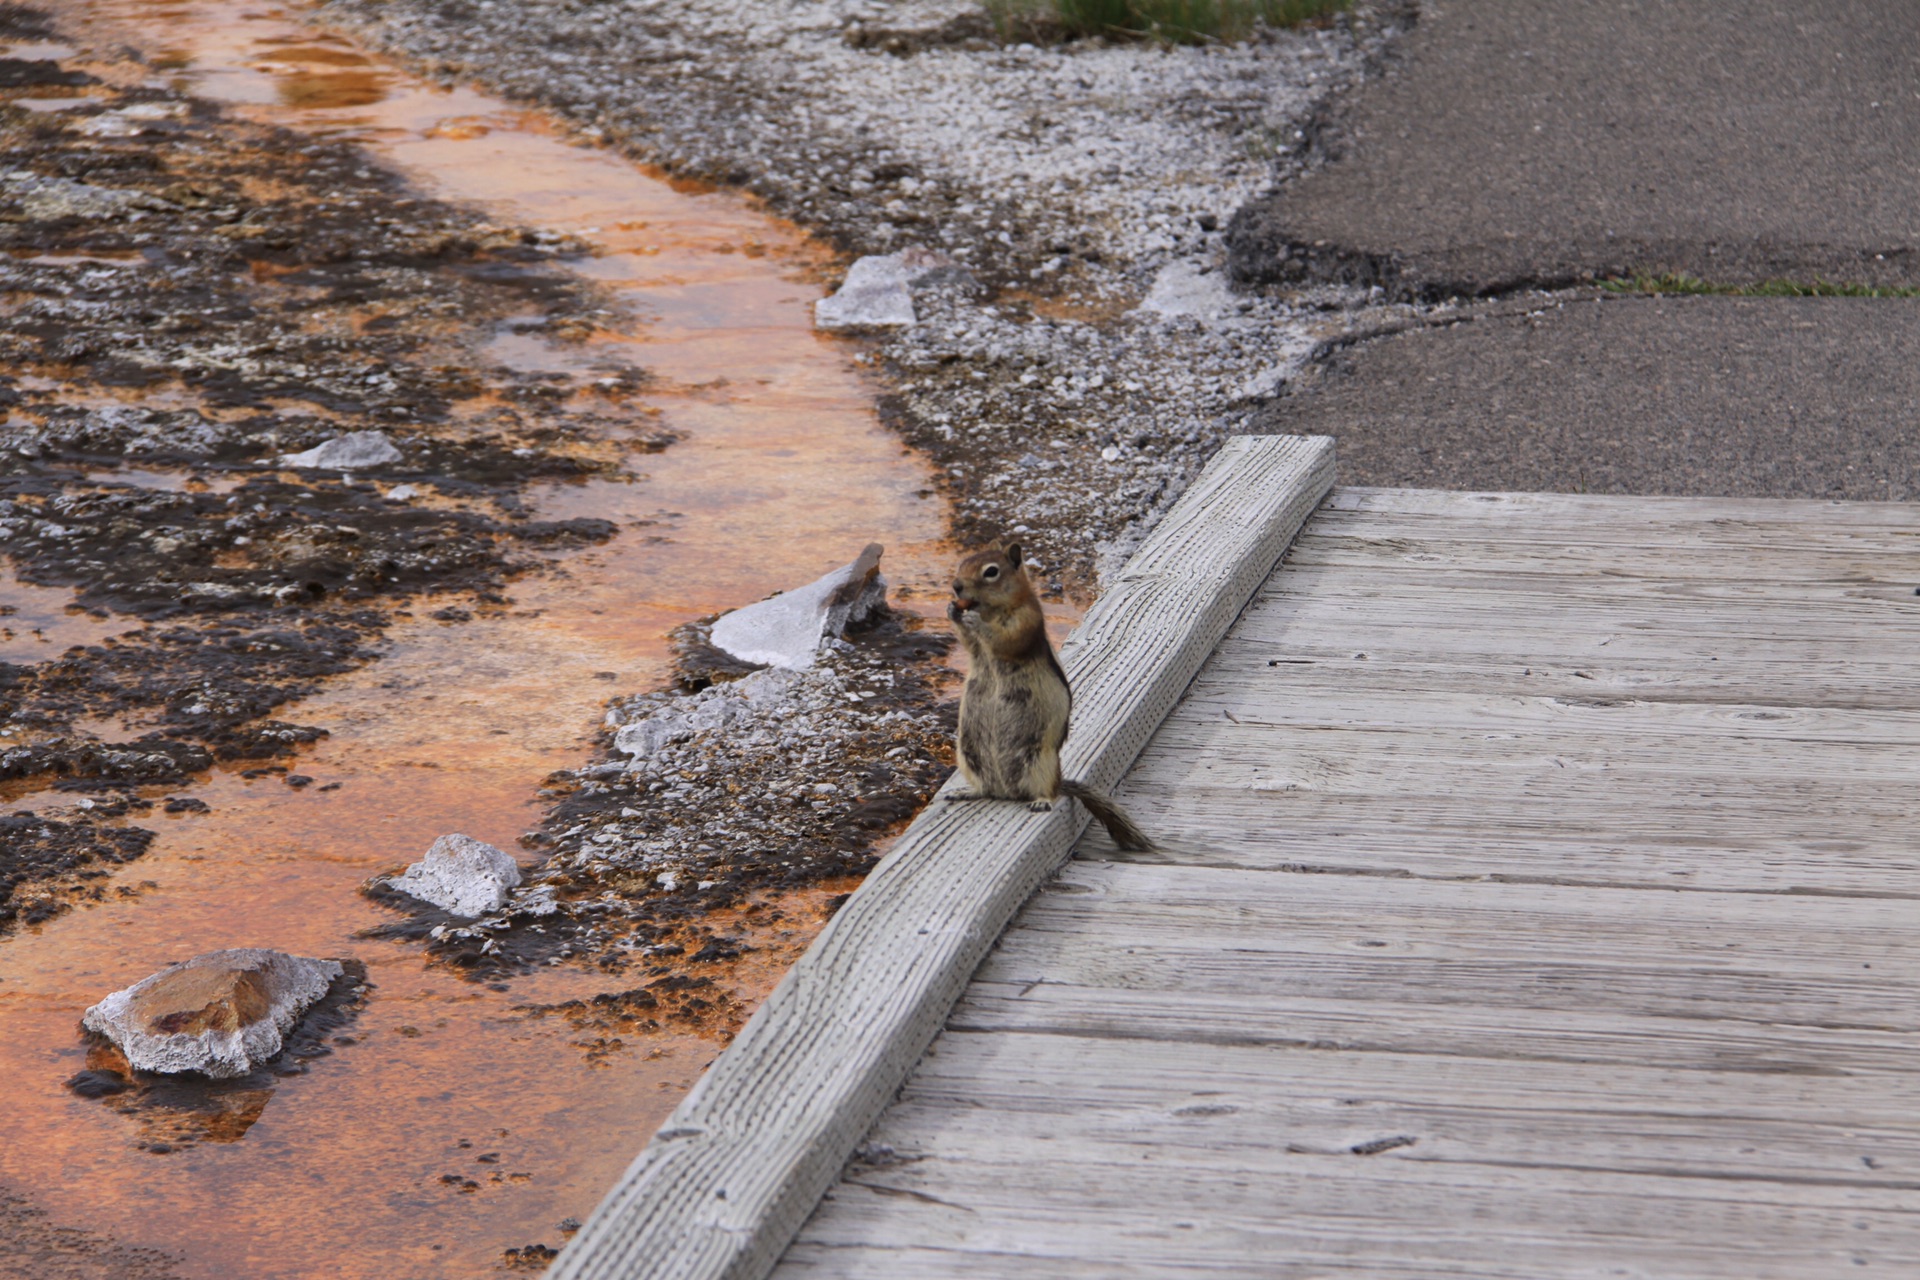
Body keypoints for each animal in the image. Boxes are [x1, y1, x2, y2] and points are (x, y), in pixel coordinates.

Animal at [944, 541, 1152, 852]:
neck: (993, 609)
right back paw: (967, 792)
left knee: (1047, 792)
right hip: (969, 756)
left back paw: (1041, 800)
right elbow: (969, 642)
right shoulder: (976, 644)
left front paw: (973, 619)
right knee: (986, 789)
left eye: (991, 572)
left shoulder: (1026, 620)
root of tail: (1008, 791)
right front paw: (953, 611)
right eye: (962, 564)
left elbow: (1005, 639)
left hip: (1039, 762)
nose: (956, 587)